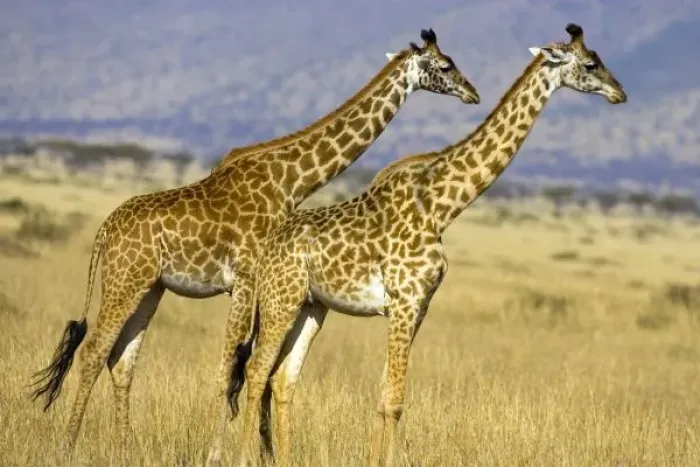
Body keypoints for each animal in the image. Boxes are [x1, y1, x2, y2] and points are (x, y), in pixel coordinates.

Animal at [29, 28, 480, 462]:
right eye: (445, 64)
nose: (472, 93)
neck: (291, 180)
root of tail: (104, 229)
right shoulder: (248, 279)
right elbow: (235, 368)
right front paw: (220, 454)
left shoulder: (265, 284)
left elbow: (254, 369)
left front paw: (263, 452)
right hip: (126, 280)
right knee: (93, 351)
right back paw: (67, 446)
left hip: (150, 287)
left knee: (121, 359)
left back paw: (125, 448)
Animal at [234, 23, 626, 467]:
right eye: (591, 64)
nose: (620, 93)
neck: (442, 207)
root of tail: (267, 248)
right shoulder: (404, 301)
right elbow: (394, 400)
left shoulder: (418, 306)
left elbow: (385, 396)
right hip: (280, 299)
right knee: (257, 370)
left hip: (311, 305)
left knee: (283, 377)